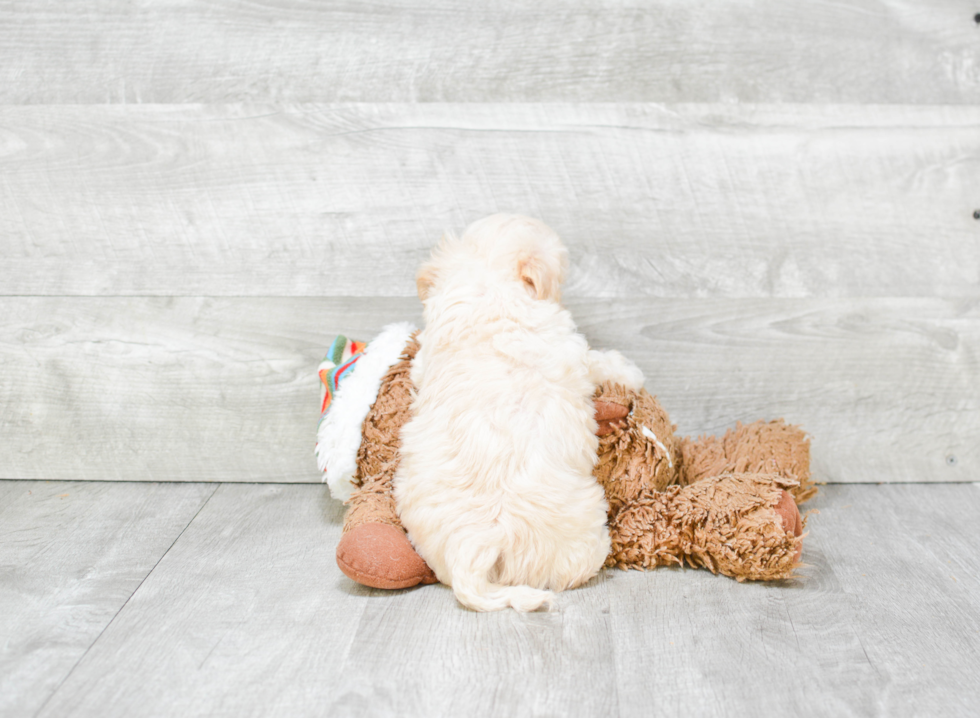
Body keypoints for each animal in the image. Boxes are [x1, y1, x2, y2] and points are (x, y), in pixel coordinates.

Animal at [394, 214, 648, 612]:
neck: (488, 286)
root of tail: (474, 553)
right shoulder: (573, 351)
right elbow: (598, 362)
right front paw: (628, 371)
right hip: (580, 538)